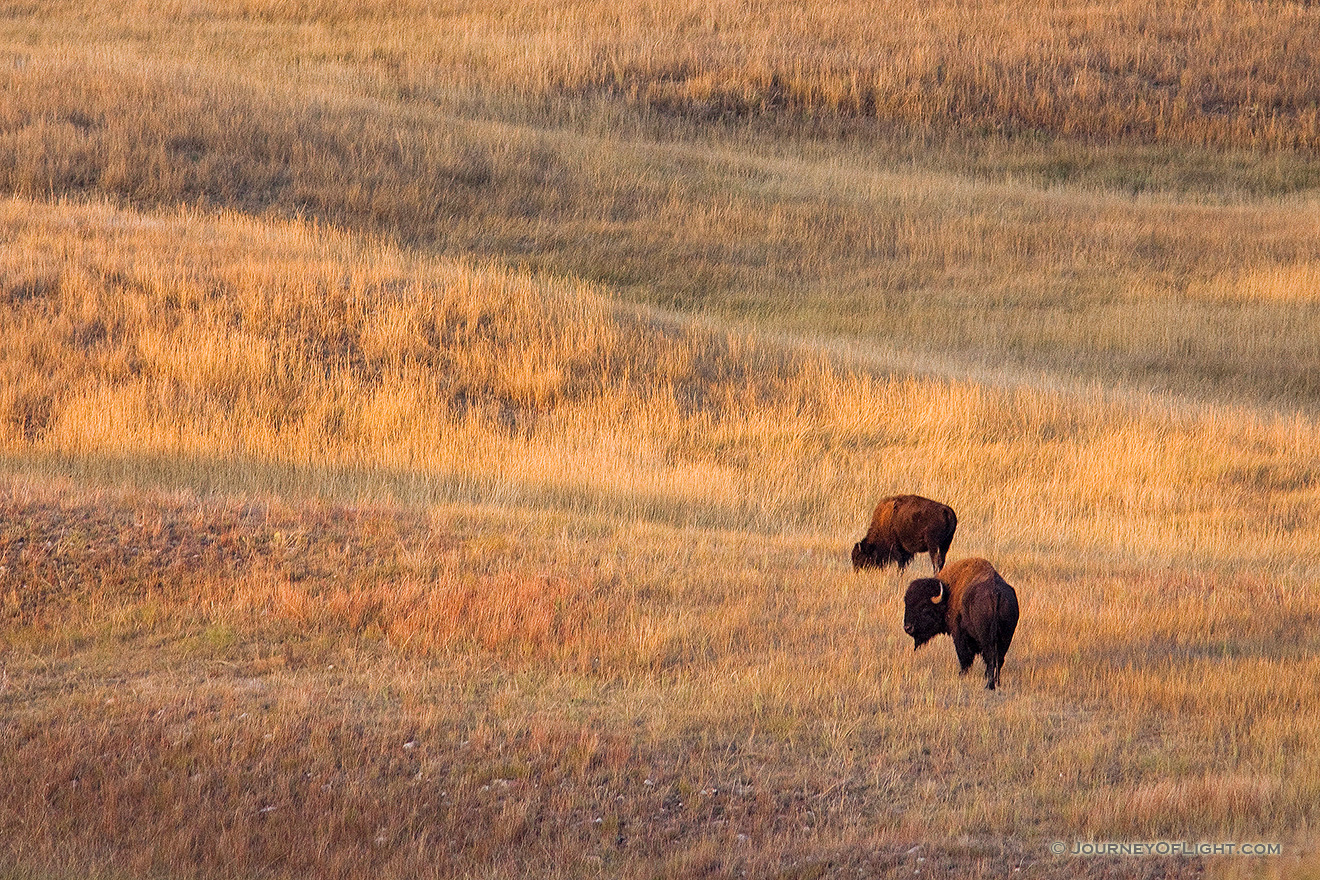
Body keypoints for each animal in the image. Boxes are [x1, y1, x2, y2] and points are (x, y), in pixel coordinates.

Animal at [897, 562, 1019, 691]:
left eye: (925, 608)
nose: (908, 627)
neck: (948, 594)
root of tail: (995, 594)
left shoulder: (959, 635)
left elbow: (964, 655)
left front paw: (962, 674)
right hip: (1006, 637)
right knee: (998, 659)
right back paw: (996, 682)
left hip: (987, 638)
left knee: (990, 658)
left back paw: (989, 685)